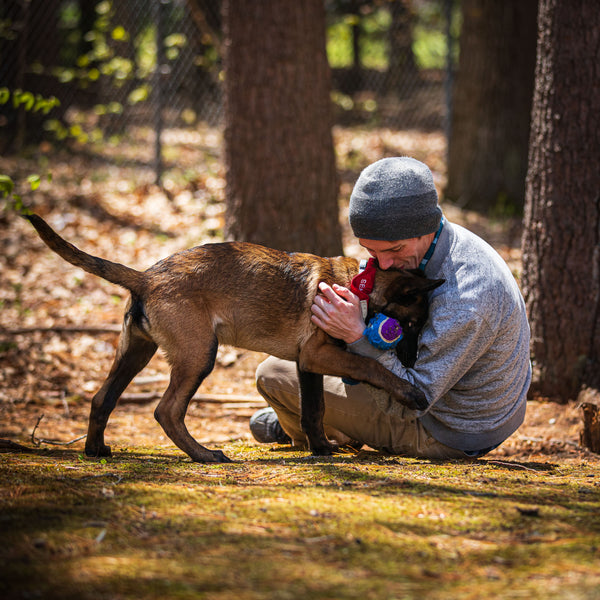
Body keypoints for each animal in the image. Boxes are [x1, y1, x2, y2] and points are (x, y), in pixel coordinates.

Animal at [25, 213, 442, 462]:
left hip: (136, 352)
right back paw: (204, 454)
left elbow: (314, 410)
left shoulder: (308, 361)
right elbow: (370, 365)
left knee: (102, 398)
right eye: (411, 325)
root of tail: (146, 277)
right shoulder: (321, 356)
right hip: (198, 355)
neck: (359, 285)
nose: (413, 363)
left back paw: (95, 450)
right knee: (166, 410)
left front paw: (321, 449)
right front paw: (409, 391)